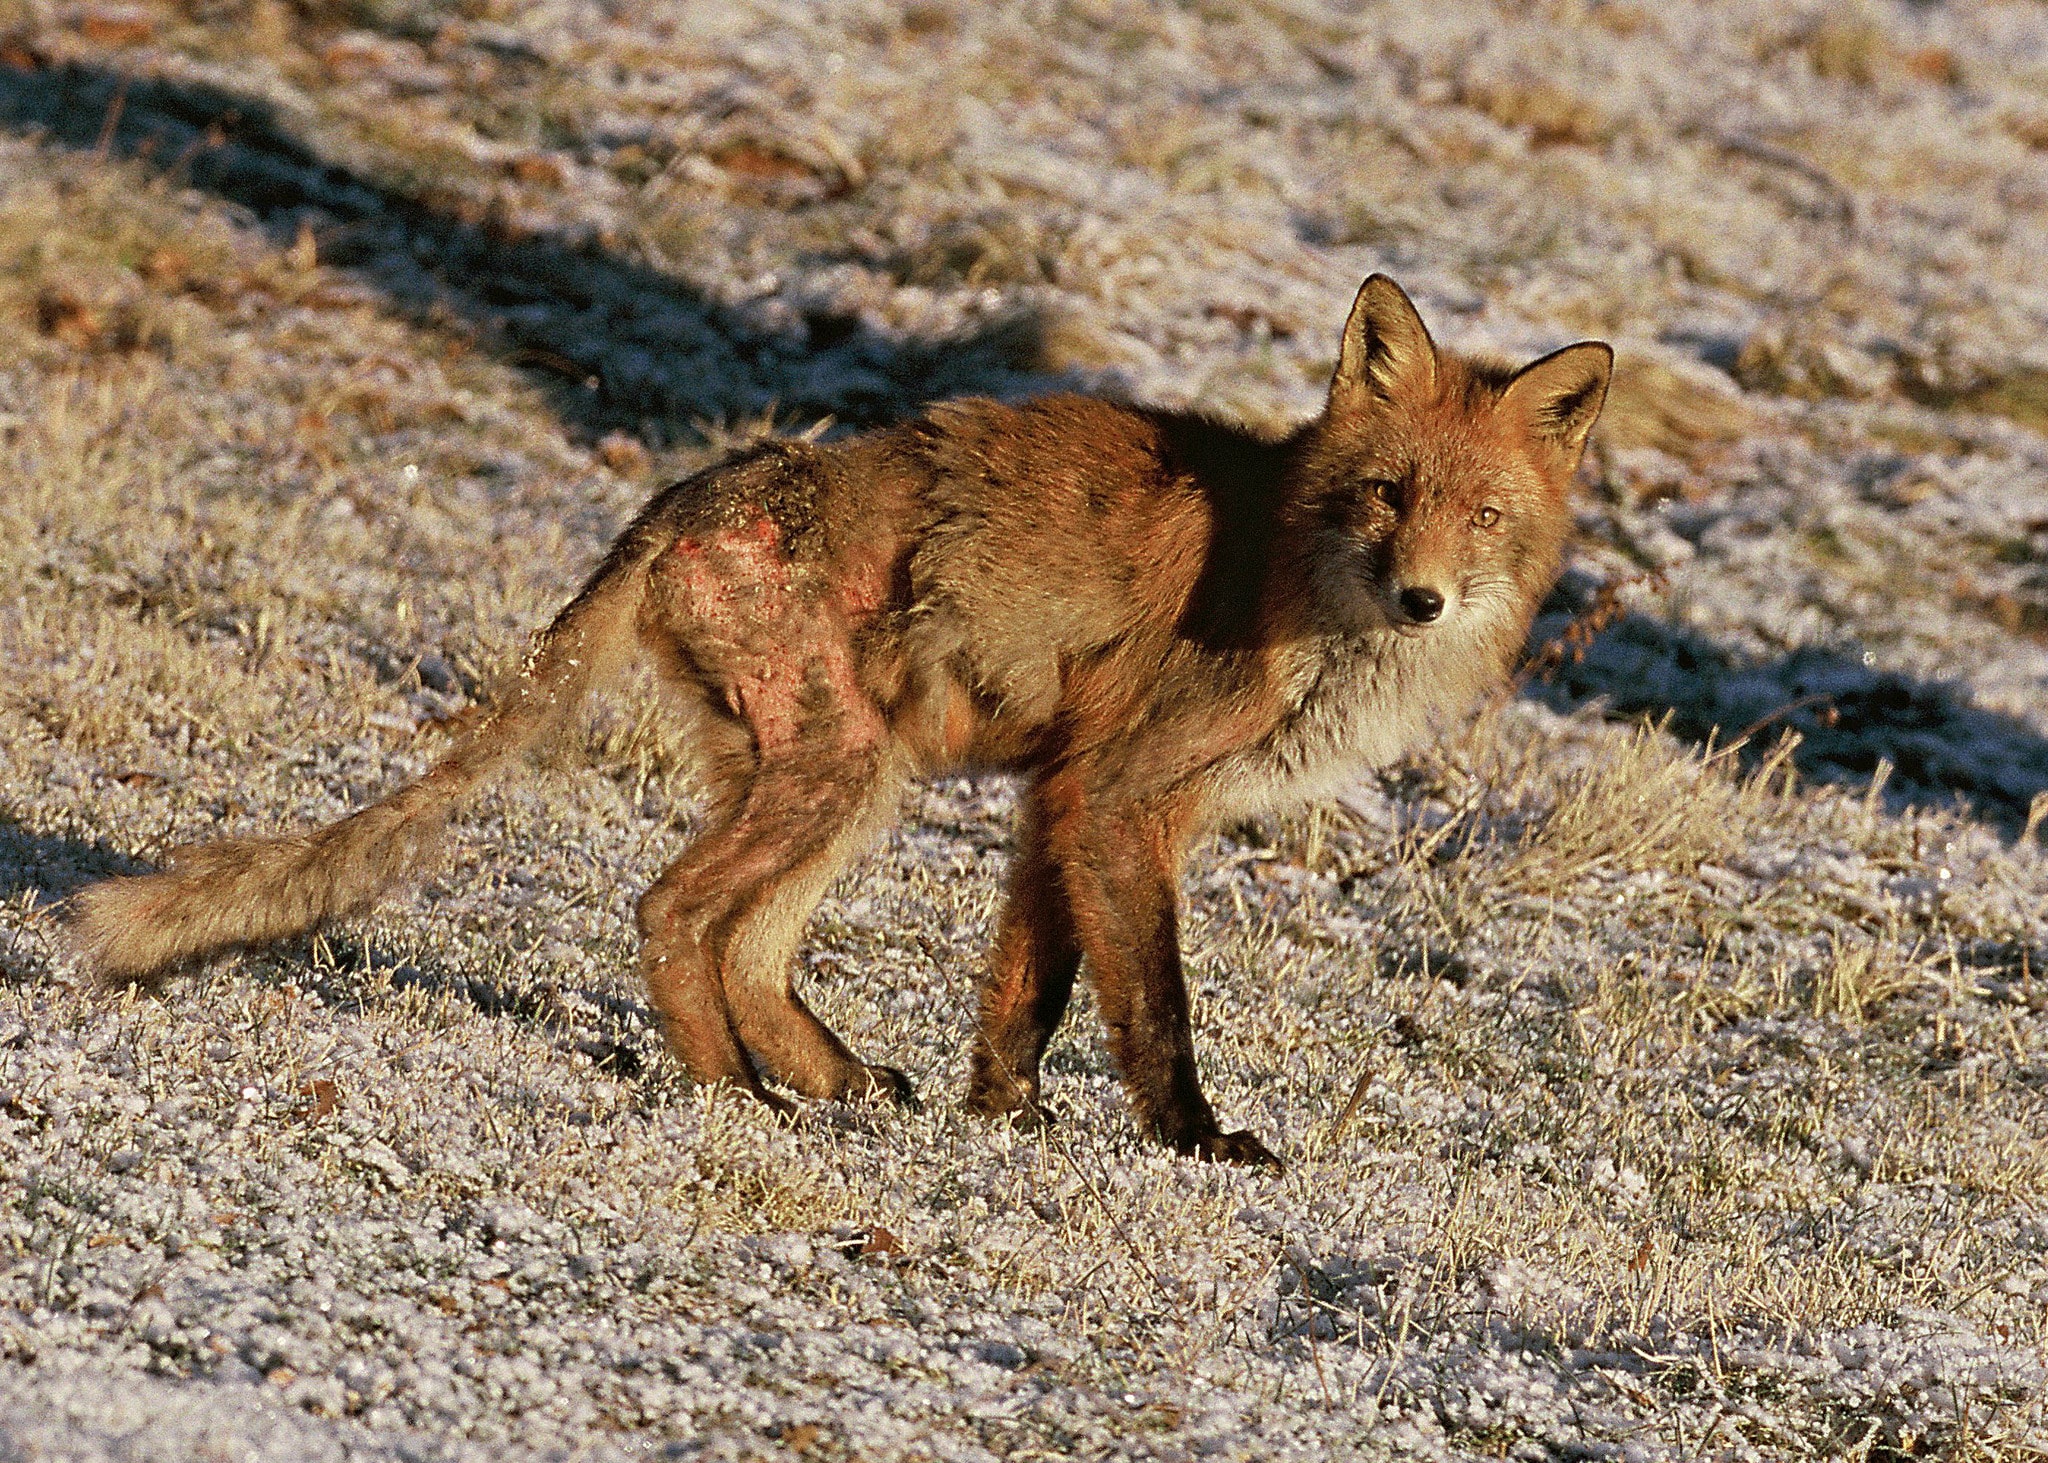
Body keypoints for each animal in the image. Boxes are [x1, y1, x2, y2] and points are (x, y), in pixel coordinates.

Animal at [72, 274, 1605, 1163]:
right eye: (1386, 492)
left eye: (1481, 514)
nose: (1420, 598)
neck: (1286, 566)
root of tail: (696, 486)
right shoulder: (1123, 793)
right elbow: (1153, 1005)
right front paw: (1193, 1141)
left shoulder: (1059, 795)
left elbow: (1028, 987)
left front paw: (1006, 1116)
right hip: (841, 769)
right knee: (675, 911)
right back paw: (730, 1095)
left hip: (842, 777)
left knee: (748, 945)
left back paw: (834, 1078)